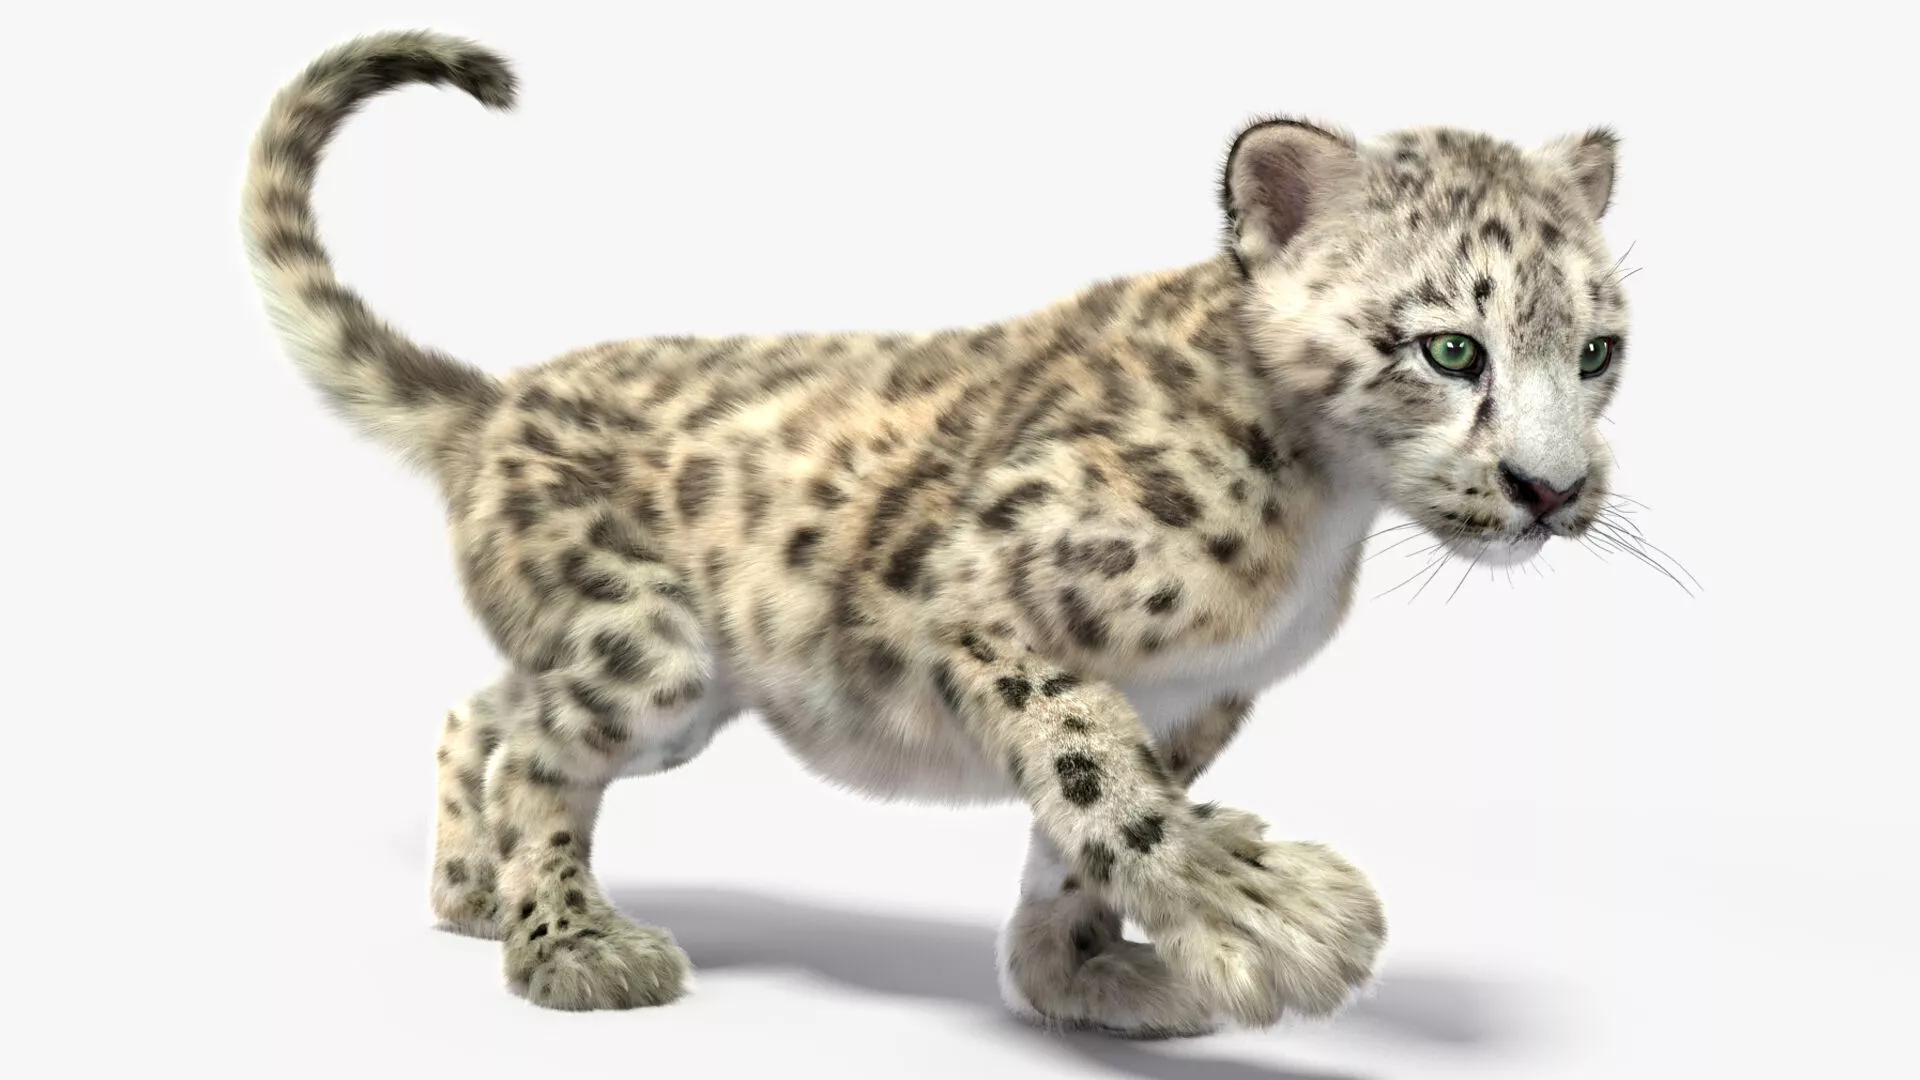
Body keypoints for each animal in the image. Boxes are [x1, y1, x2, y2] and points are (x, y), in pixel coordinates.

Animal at [243, 30, 1632, 1036]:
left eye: (1598, 350)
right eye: (1450, 348)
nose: (1551, 490)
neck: (1324, 519)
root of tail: (496, 401)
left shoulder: (1202, 695)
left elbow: (1083, 833)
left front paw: (1086, 972)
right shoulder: (971, 595)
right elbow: (1095, 768)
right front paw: (1266, 914)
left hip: (660, 683)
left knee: (484, 710)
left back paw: (473, 893)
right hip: (653, 651)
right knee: (537, 755)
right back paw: (572, 945)